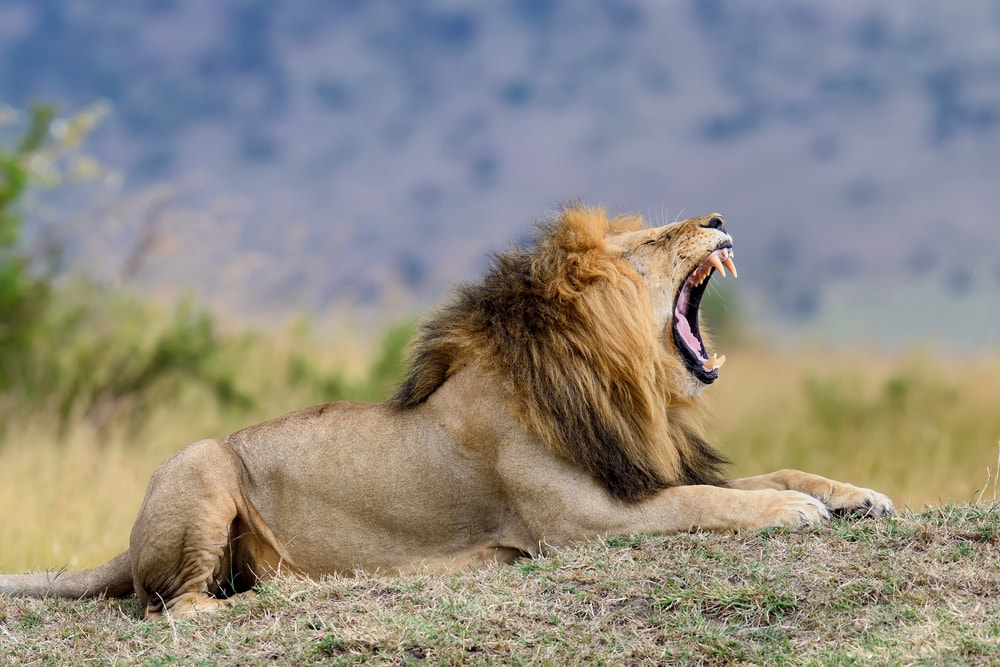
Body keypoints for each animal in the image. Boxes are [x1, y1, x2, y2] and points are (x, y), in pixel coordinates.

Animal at [0, 205, 894, 618]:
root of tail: (126, 543)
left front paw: (856, 493)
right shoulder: (583, 522)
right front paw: (796, 511)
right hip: (200, 459)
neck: (619, 384)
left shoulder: (640, 469)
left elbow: (764, 472)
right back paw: (265, 597)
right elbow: (710, 501)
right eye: (650, 244)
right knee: (176, 607)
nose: (714, 217)